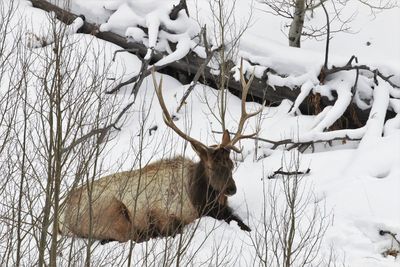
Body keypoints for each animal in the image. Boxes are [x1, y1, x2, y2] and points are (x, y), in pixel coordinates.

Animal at [57, 65, 260, 245]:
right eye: (211, 166)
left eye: (231, 164)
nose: (231, 189)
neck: (198, 198)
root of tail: (59, 217)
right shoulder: (162, 215)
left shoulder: (223, 210)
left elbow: (243, 224)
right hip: (111, 212)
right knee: (131, 236)